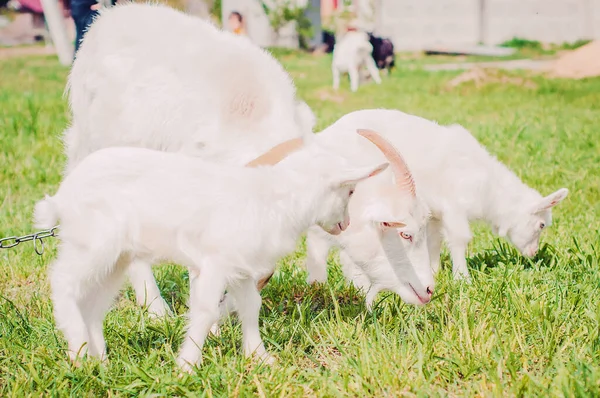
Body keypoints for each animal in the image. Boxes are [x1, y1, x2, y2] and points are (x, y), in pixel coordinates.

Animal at [304, 109, 568, 282]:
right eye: (542, 224)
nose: (533, 254)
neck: (488, 188)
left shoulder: (434, 215)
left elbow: (433, 241)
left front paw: (433, 272)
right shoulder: (454, 205)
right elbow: (460, 238)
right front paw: (462, 278)